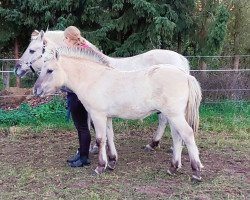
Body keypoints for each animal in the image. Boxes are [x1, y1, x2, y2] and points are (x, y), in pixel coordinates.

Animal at [33, 47, 203, 181]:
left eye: (50, 70)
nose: (36, 90)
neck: (93, 79)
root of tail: (186, 75)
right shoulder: (107, 117)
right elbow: (110, 137)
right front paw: (112, 162)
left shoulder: (98, 115)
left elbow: (101, 140)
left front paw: (100, 167)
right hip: (173, 116)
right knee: (177, 137)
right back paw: (173, 167)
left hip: (174, 115)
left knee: (187, 134)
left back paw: (196, 172)